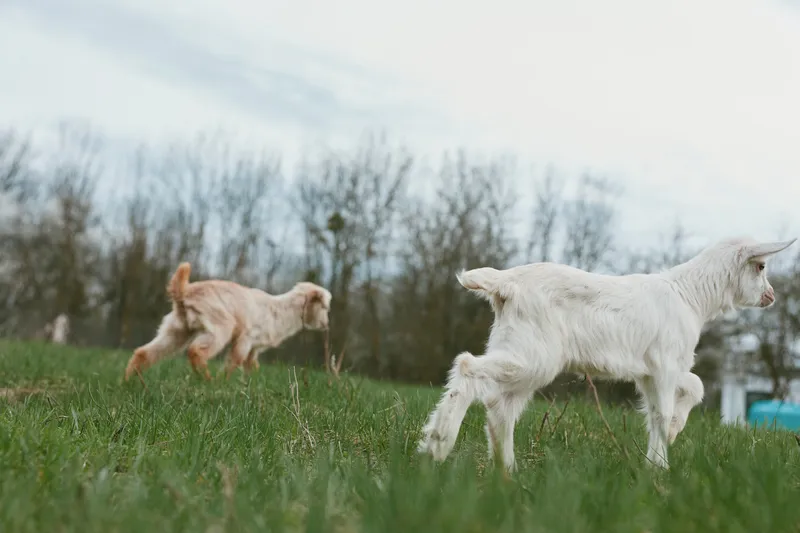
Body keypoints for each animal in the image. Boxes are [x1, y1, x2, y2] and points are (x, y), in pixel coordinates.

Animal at [123, 262, 332, 381]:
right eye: (325, 307)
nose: (326, 325)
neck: (278, 311)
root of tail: (185, 291)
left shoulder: (254, 348)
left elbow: (251, 366)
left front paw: (249, 383)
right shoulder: (245, 339)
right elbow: (234, 361)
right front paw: (225, 382)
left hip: (176, 330)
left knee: (144, 352)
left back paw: (128, 381)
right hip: (220, 327)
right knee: (196, 351)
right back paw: (207, 380)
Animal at [417, 237, 796, 471]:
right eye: (761, 267)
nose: (771, 296)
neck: (690, 296)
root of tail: (505, 283)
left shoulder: (651, 370)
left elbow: (688, 391)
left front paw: (667, 443)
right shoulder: (664, 364)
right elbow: (664, 411)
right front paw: (660, 467)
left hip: (519, 347)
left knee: (500, 407)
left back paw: (506, 471)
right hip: (533, 354)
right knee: (469, 366)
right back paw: (438, 443)